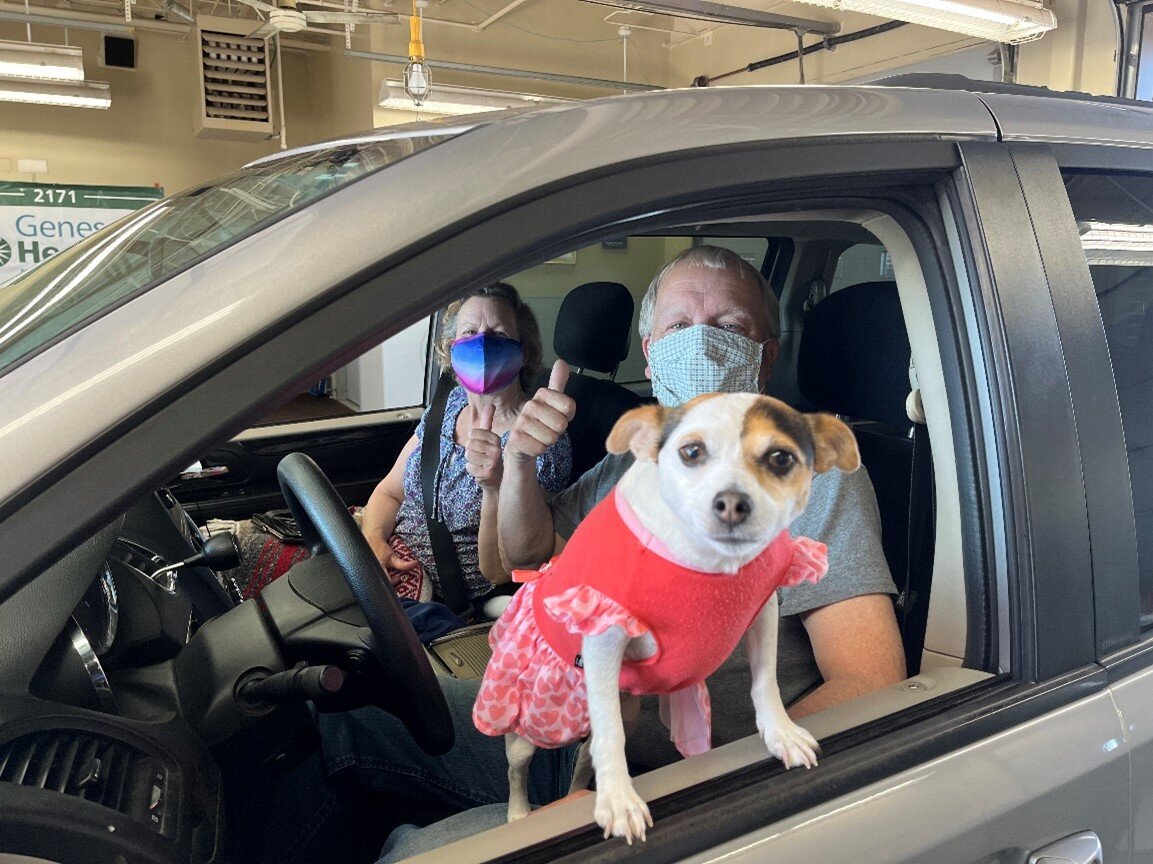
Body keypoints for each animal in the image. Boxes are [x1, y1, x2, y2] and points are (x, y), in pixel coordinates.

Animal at [472, 389, 862, 844]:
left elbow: (766, 682)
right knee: (522, 767)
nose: (732, 503)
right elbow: (609, 736)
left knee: (585, 756)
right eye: (691, 452)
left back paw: (578, 796)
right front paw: (619, 800)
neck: (709, 564)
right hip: (528, 729)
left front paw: (780, 733)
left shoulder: (762, 614)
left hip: (620, 710)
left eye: (781, 459)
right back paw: (519, 815)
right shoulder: (605, 633)